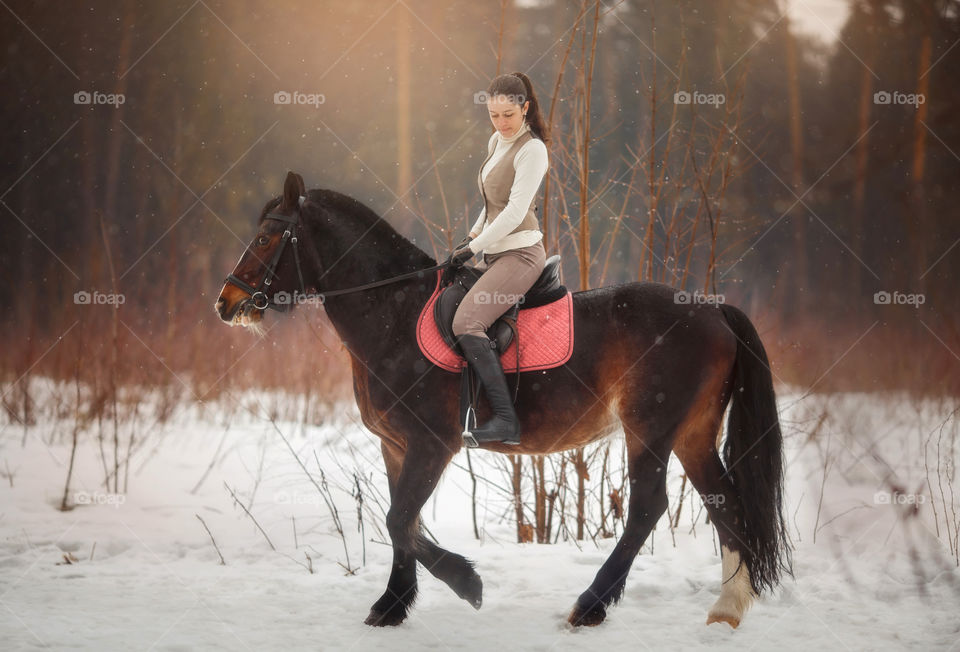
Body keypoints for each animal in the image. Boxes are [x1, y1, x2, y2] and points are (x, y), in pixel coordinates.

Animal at [214, 171, 792, 628]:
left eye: (266, 237)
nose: (226, 303)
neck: (394, 312)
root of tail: (713, 310)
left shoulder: (432, 444)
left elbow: (399, 520)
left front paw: (465, 583)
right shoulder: (395, 445)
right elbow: (403, 521)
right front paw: (391, 607)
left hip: (650, 429)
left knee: (649, 508)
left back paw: (590, 606)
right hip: (693, 432)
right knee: (724, 502)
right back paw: (727, 608)